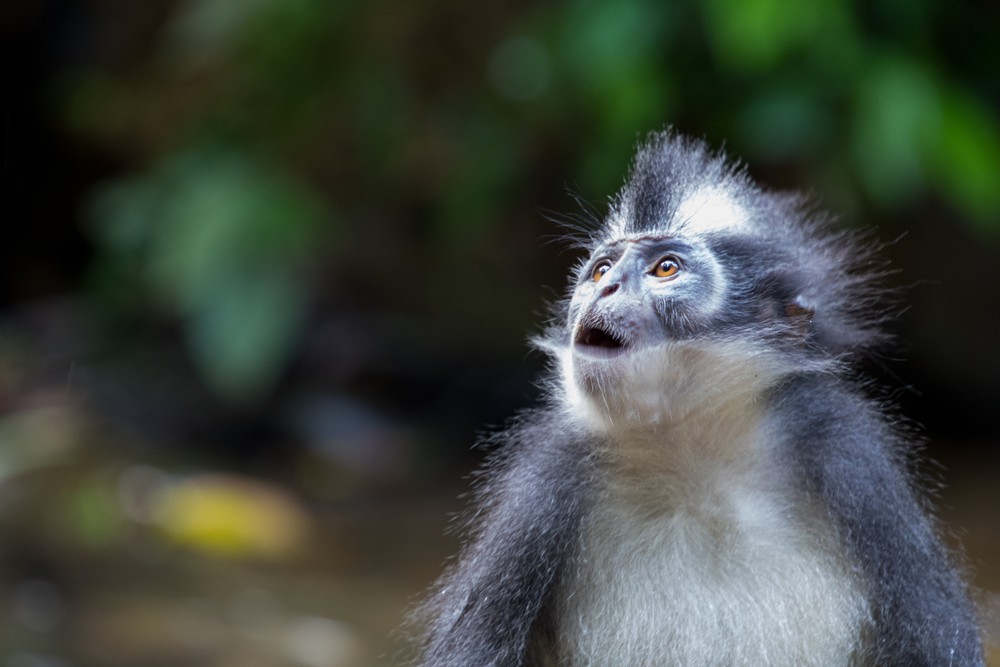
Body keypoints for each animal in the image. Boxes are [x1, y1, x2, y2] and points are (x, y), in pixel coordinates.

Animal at [412, 131, 984, 666]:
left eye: (666, 268)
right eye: (601, 270)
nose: (605, 289)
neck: (693, 461)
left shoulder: (850, 456)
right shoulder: (546, 481)